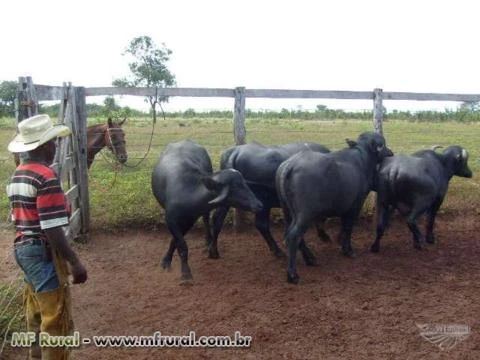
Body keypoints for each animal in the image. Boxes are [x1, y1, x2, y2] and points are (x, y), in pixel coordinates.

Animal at [152, 139, 262, 282]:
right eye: (236, 187)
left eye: (245, 183)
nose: (259, 204)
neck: (188, 191)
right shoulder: (171, 219)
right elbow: (180, 244)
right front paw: (183, 272)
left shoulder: (190, 220)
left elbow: (176, 241)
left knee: (205, 218)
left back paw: (208, 240)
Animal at [276, 132, 392, 284]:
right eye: (383, 144)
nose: (390, 152)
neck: (362, 160)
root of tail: (291, 164)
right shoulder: (355, 206)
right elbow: (348, 228)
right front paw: (348, 250)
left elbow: (343, 227)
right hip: (305, 214)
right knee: (294, 236)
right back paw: (293, 274)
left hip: (288, 211)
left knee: (291, 234)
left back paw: (310, 259)